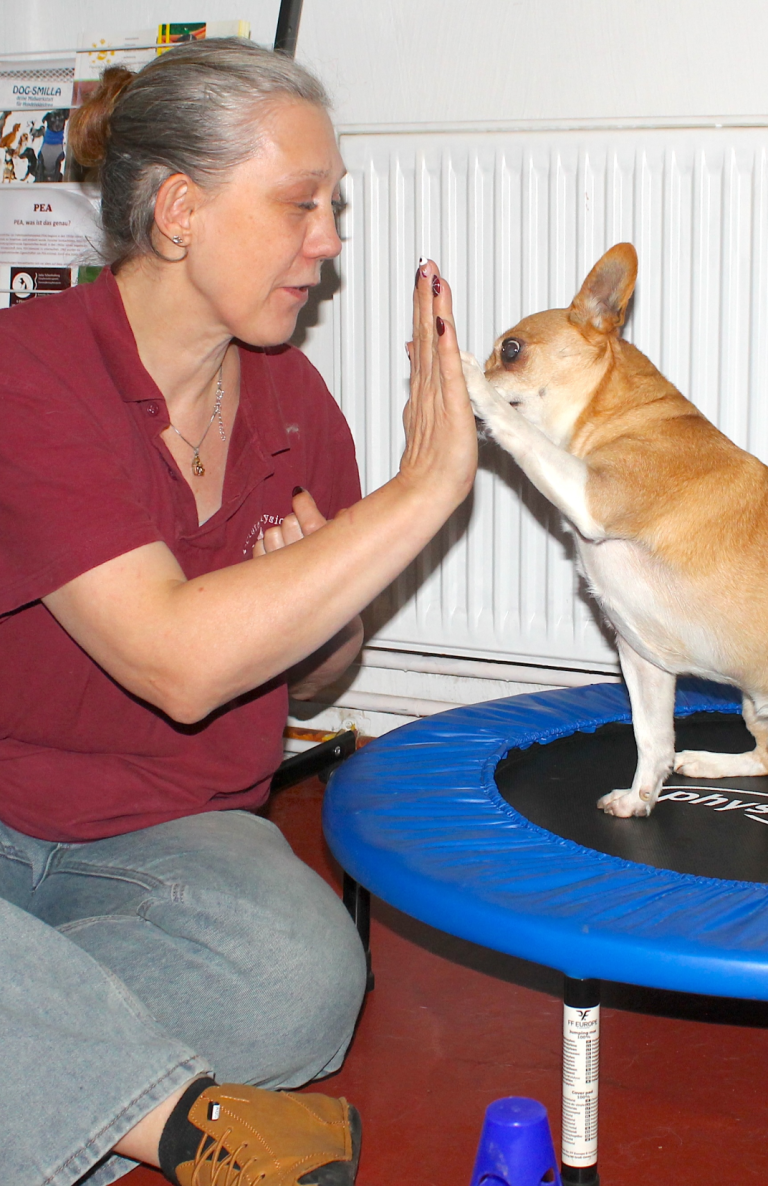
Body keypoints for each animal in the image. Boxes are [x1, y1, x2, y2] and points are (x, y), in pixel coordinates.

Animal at [464, 240, 768, 815]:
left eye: (510, 350)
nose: (484, 367)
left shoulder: (587, 495)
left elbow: (521, 435)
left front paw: (470, 382)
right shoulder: (643, 659)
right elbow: (652, 737)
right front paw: (639, 798)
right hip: (752, 704)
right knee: (764, 757)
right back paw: (708, 763)